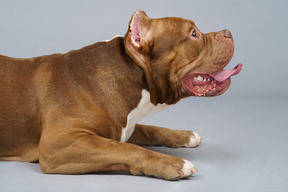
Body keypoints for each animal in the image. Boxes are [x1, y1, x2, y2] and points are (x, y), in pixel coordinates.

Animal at [0, 9, 241, 180]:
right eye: (193, 34)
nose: (228, 32)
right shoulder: (59, 144)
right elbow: (126, 148)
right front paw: (172, 163)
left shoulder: (124, 125)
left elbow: (149, 130)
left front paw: (183, 135)